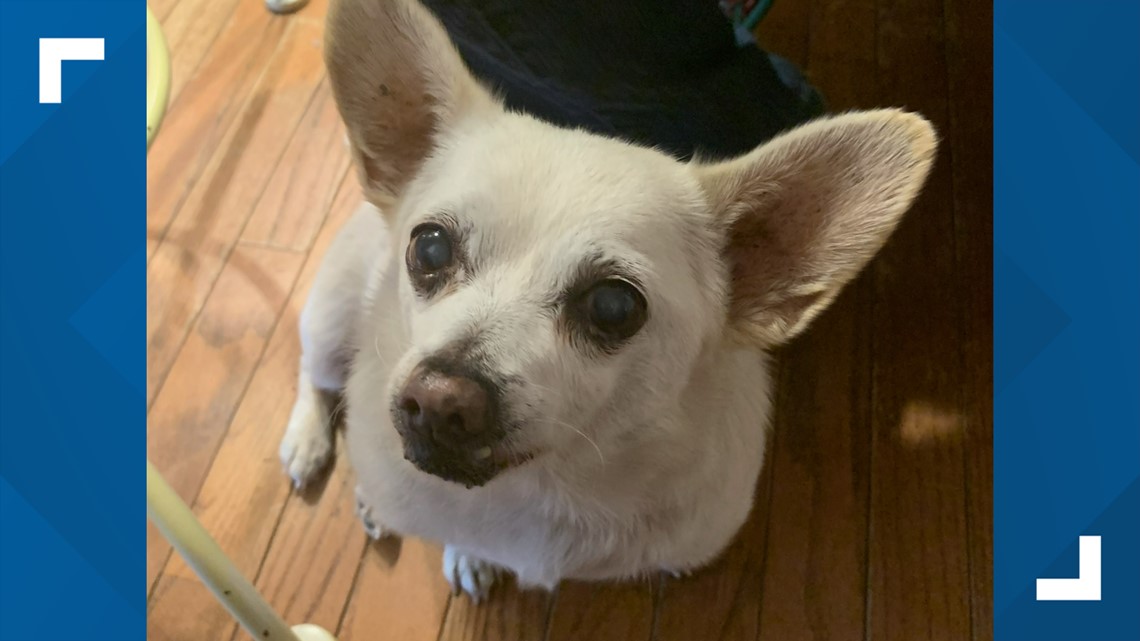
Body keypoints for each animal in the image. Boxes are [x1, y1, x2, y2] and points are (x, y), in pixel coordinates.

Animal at [278, 0, 934, 602]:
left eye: (614, 307)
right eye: (429, 248)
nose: (440, 398)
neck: (543, 486)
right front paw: (467, 551)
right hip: (332, 319)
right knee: (315, 374)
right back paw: (310, 445)